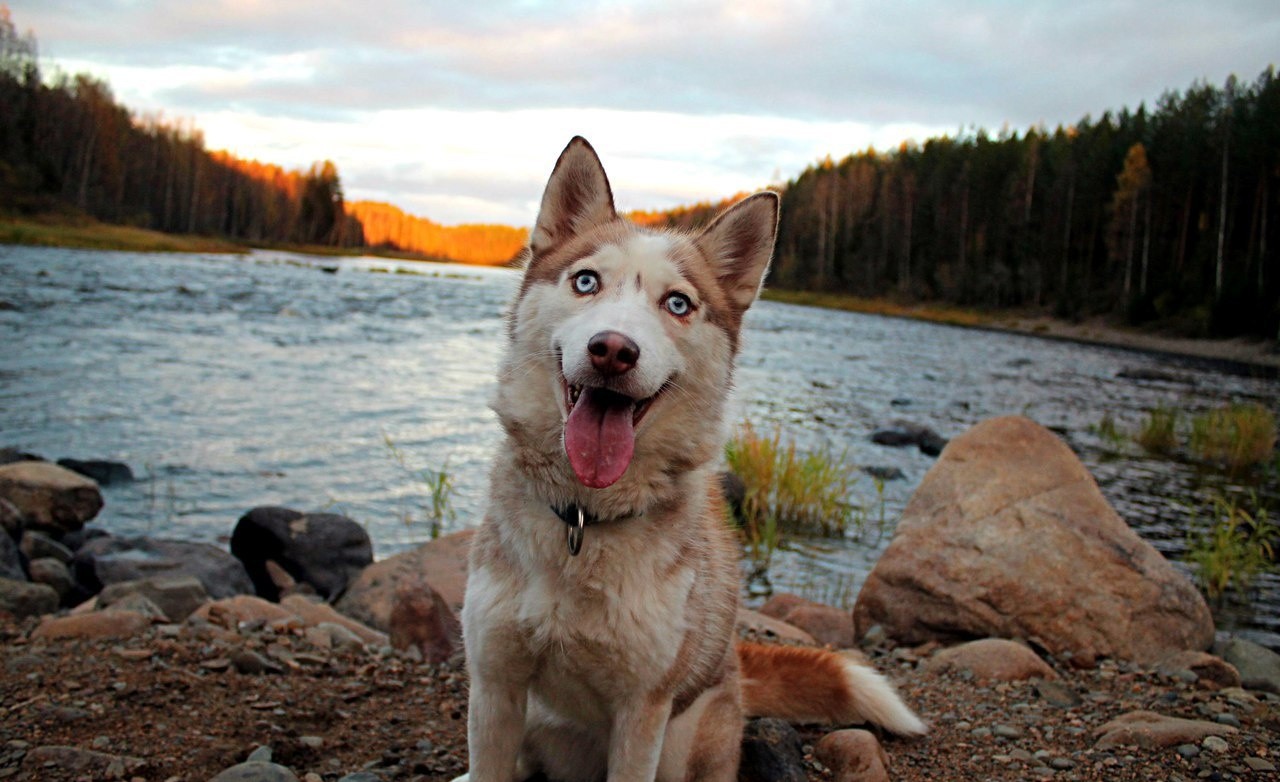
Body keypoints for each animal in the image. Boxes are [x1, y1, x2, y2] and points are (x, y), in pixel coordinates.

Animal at [458, 137, 921, 778]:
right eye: (586, 281)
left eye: (677, 303)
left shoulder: (643, 709)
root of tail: (736, 672)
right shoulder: (494, 684)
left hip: (687, 734)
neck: (584, 518)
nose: (612, 350)